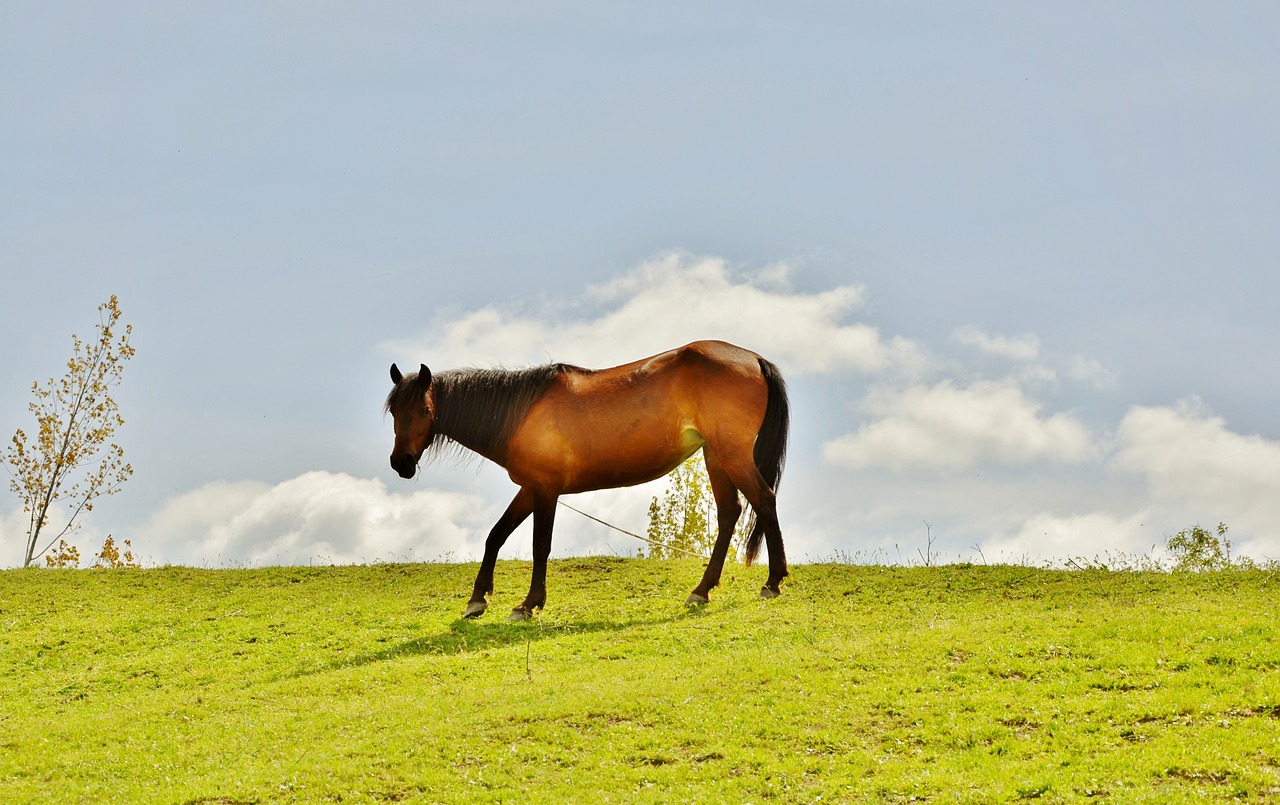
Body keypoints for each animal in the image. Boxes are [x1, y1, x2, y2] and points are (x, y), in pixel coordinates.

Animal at [384, 335, 788, 619]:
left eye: (424, 410)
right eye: (393, 412)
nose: (401, 463)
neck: (520, 413)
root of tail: (754, 358)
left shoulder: (546, 491)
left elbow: (539, 546)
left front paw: (528, 604)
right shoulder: (530, 488)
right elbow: (495, 536)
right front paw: (477, 600)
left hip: (731, 454)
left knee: (764, 500)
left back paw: (772, 582)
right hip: (715, 456)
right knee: (729, 513)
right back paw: (702, 590)